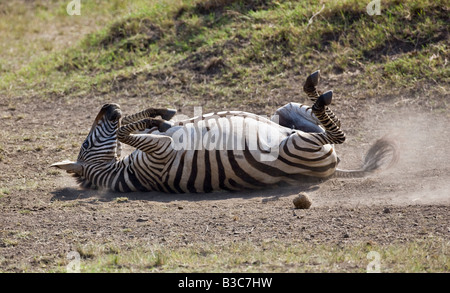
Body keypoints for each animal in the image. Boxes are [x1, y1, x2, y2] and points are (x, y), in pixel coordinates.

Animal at [51, 71, 398, 192]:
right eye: (86, 145)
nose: (109, 105)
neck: (124, 173)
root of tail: (334, 168)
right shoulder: (162, 153)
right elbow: (123, 131)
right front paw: (156, 117)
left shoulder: (159, 144)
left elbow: (138, 126)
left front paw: (163, 114)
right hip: (297, 145)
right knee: (336, 136)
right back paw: (319, 93)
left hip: (284, 112)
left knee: (314, 118)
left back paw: (315, 88)